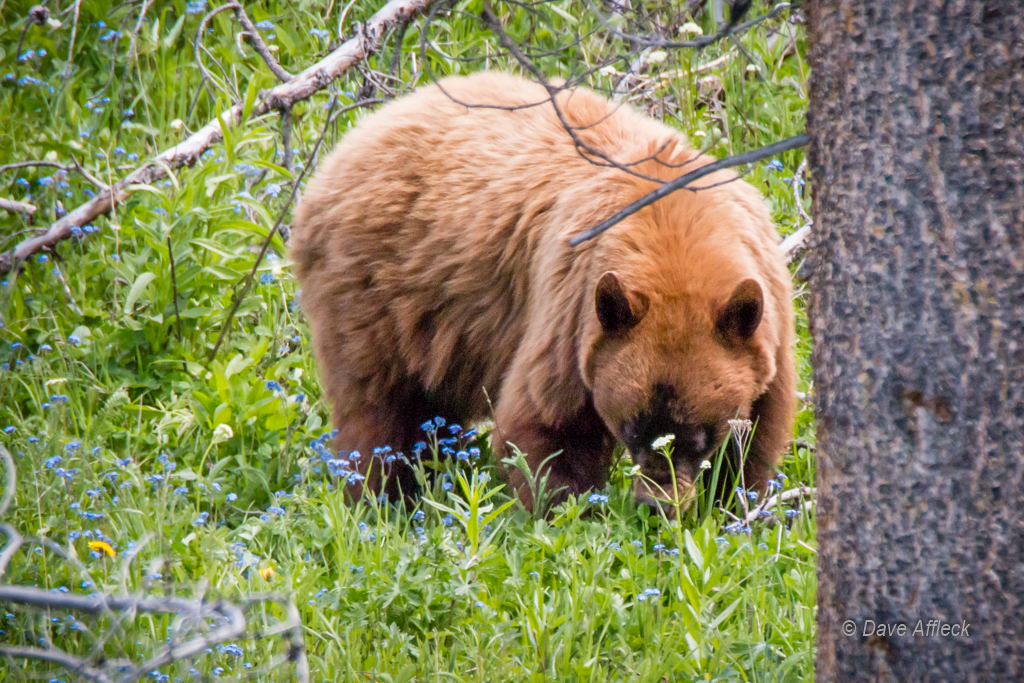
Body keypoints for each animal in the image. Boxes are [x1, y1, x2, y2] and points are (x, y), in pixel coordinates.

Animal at [292, 73, 794, 511]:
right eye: (631, 429)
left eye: (698, 436)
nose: (656, 507)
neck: (675, 230)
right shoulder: (573, 309)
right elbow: (548, 424)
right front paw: (569, 515)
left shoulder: (768, 317)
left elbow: (757, 432)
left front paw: (732, 507)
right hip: (374, 291)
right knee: (380, 412)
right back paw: (381, 500)